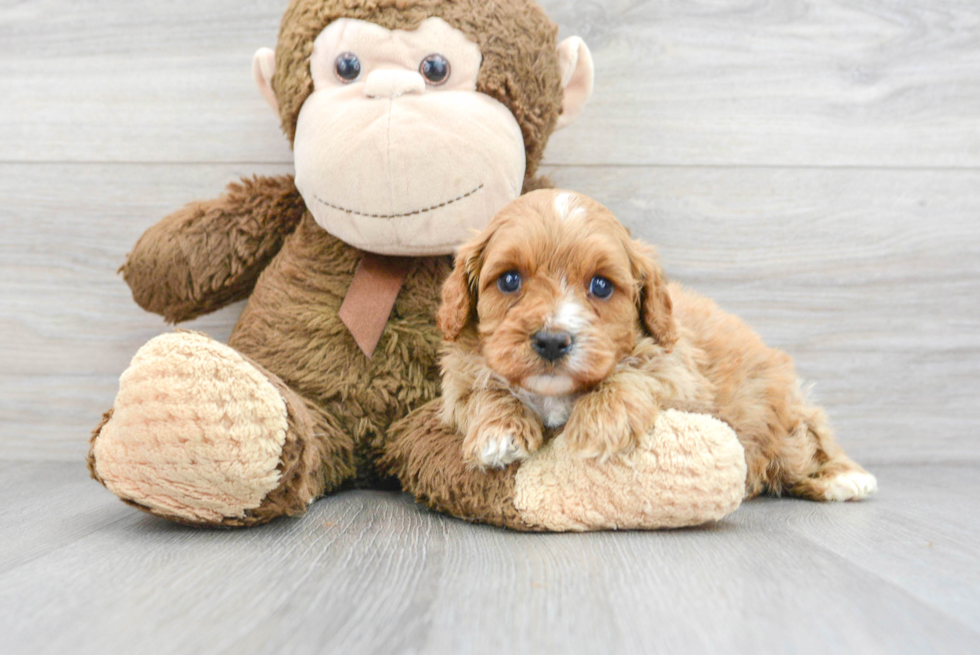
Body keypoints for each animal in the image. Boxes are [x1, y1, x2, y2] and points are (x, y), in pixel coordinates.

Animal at [432, 190, 876, 502]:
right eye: (509, 280)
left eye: (601, 285)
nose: (553, 341)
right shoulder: (458, 381)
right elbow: (483, 390)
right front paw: (498, 431)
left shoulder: (678, 370)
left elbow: (634, 375)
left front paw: (600, 424)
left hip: (781, 417)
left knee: (808, 439)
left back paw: (845, 478)